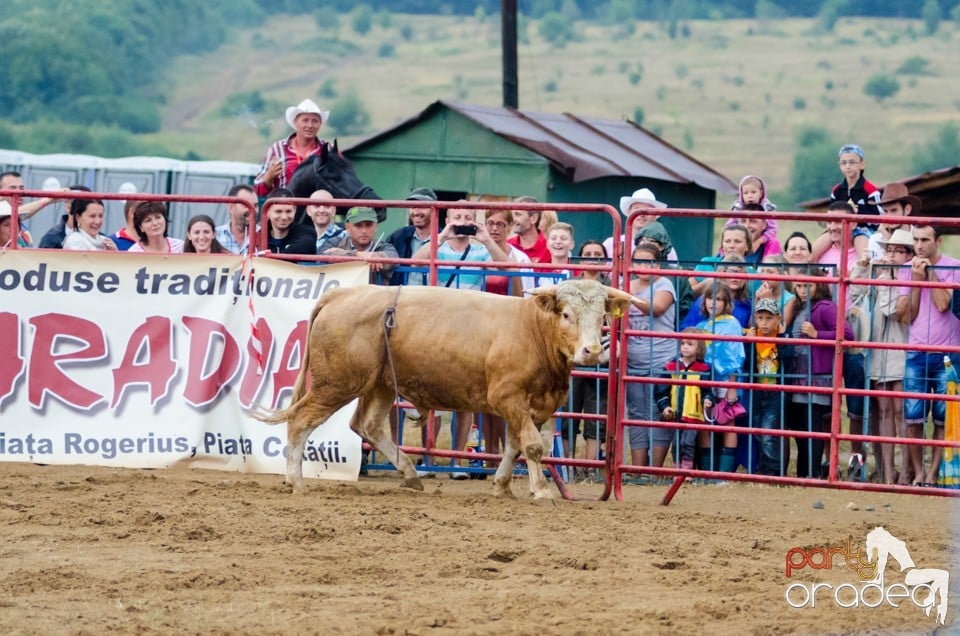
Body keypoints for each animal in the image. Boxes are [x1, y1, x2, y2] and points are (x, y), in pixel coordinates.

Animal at [255, 280, 632, 500]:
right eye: (566, 314)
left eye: (602, 316)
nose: (591, 351)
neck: (531, 328)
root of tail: (341, 294)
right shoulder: (507, 397)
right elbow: (533, 446)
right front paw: (540, 490)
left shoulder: (536, 405)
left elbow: (514, 446)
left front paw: (501, 485)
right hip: (336, 383)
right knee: (301, 420)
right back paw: (296, 481)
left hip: (380, 383)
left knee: (368, 425)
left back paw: (410, 474)